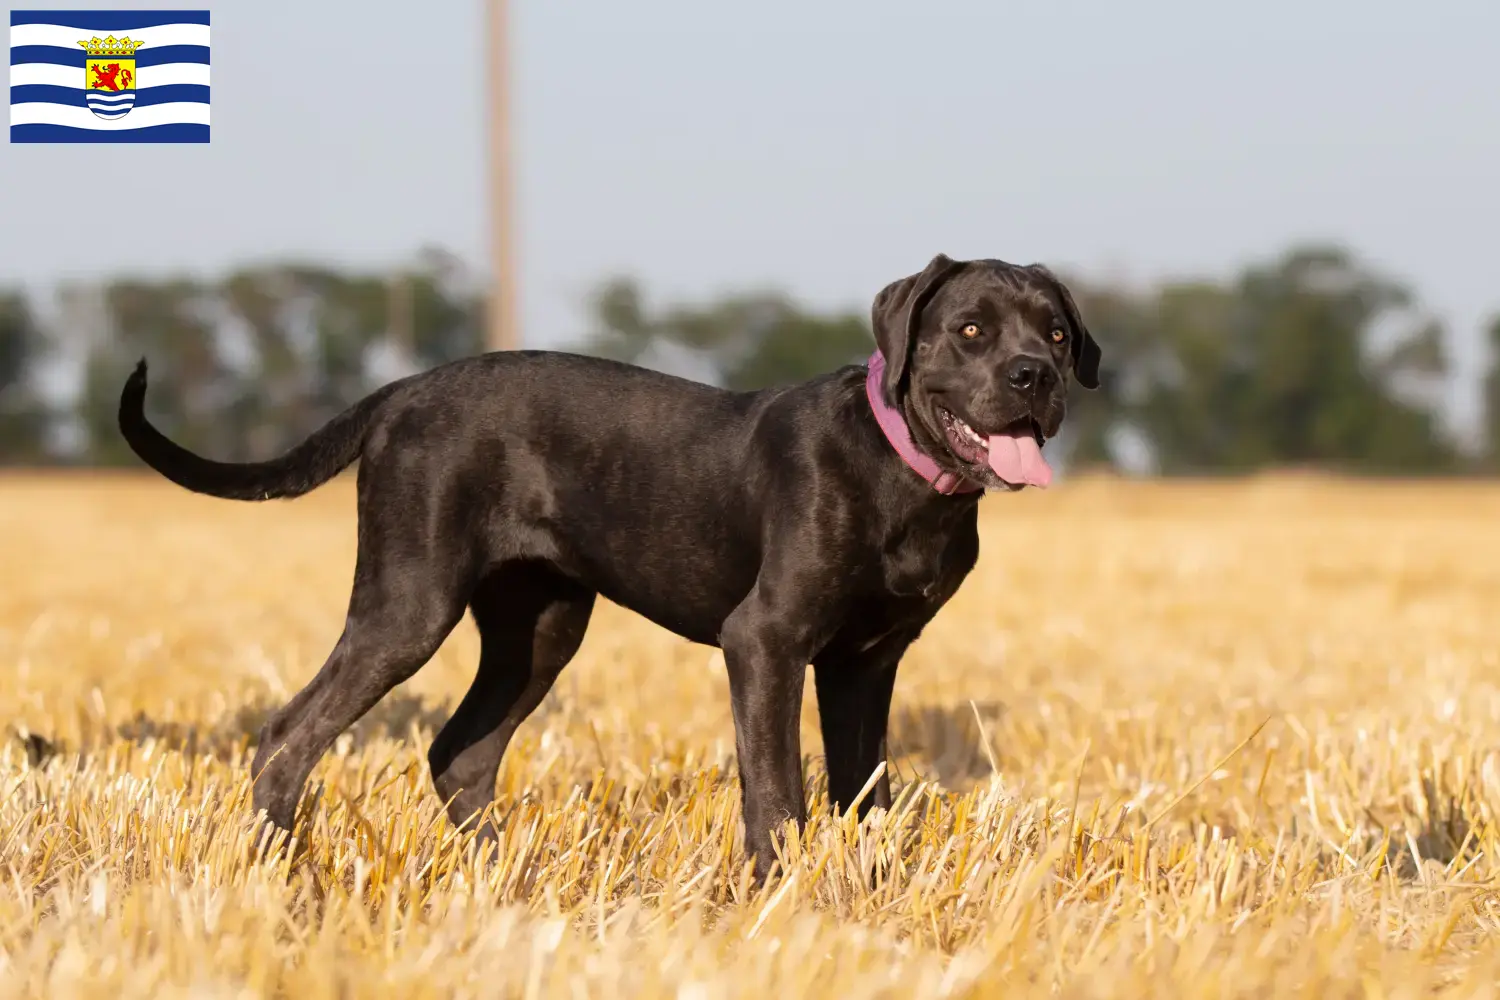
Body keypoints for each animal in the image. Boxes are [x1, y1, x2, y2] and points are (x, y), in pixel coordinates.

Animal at [120, 254, 1104, 881]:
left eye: (1057, 333)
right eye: (970, 329)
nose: (1033, 376)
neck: (903, 471)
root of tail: (401, 390)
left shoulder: (866, 663)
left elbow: (868, 795)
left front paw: (875, 903)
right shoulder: (766, 642)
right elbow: (777, 792)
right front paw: (781, 901)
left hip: (539, 626)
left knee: (460, 752)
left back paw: (502, 883)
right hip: (408, 603)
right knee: (292, 732)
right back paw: (278, 875)